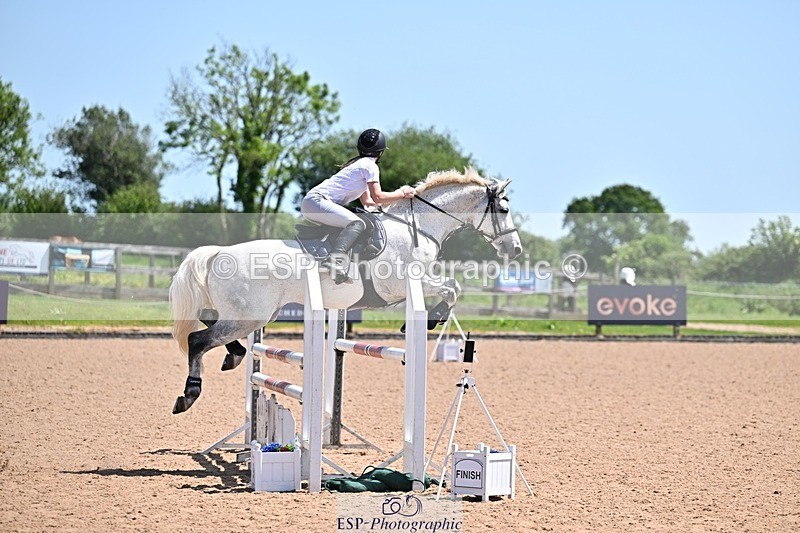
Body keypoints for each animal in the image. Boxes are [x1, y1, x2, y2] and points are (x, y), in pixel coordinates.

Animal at [169, 167, 522, 414]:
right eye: (504, 211)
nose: (516, 249)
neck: (418, 229)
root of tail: (218, 253)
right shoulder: (405, 282)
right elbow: (452, 288)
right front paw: (431, 318)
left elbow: (452, 287)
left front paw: (427, 320)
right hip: (249, 316)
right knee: (198, 340)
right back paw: (188, 395)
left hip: (250, 314)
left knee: (210, 326)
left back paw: (234, 355)